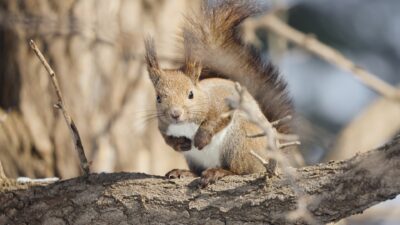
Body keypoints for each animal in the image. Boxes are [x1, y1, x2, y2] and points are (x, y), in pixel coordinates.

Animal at [145, 0, 296, 187]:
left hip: (240, 141)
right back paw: (184, 172)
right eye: (158, 98)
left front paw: (201, 138)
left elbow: (216, 119)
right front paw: (180, 143)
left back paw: (218, 172)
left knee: (240, 170)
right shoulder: (163, 125)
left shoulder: (224, 100)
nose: (175, 114)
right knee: (198, 170)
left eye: (191, 94)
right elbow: (166, 138)